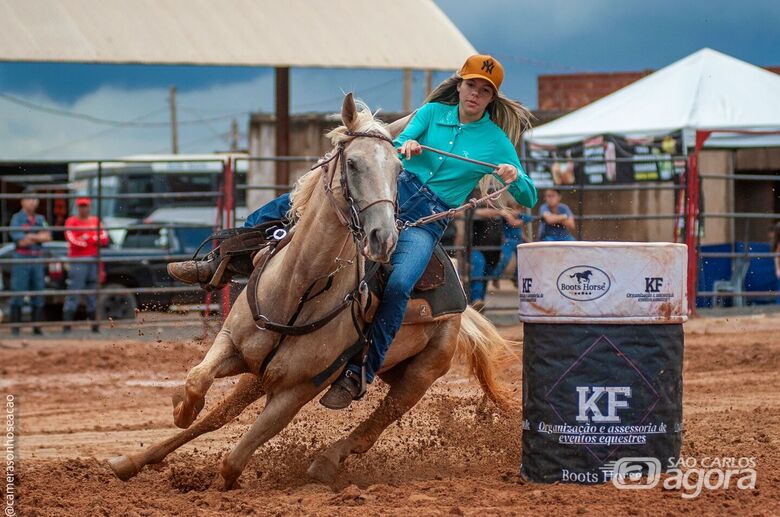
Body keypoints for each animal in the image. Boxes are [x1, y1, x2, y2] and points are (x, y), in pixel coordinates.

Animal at [108, 93, 512, 488]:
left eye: (398, 170)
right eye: (352, 164)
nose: (384, 238)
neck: (298, 287)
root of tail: (461, 304)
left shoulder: (299, 389)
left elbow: (232, 462)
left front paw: (227, 480)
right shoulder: (232, 343)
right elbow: (197, 381)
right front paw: (181, 408)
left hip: (420, 375)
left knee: (371, 429)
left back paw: (324, 464)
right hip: (272, 372)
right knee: (221, 414)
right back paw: (129, 461)